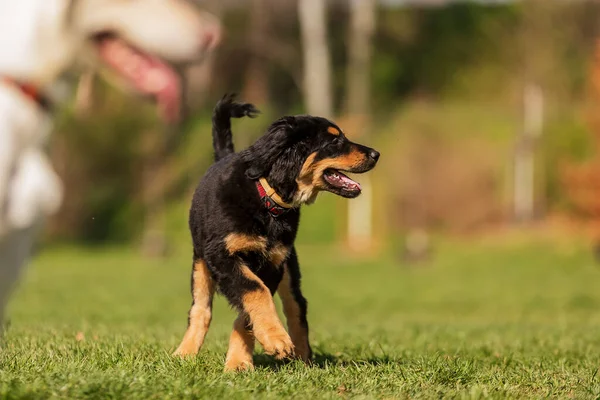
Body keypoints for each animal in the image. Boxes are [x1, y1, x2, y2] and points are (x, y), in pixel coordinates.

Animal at [173, 94, 380, 372]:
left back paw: (303, 356)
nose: (376, 154)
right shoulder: (222, 255)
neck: (267, 199)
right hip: (201, 263)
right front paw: (272, 342)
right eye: (334, 141)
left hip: (289, 266)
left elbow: (249, 311)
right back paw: (184, 353)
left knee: (296, 305)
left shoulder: (273, 263)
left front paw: (243, 359)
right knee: (200, 309)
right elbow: (254, 291)